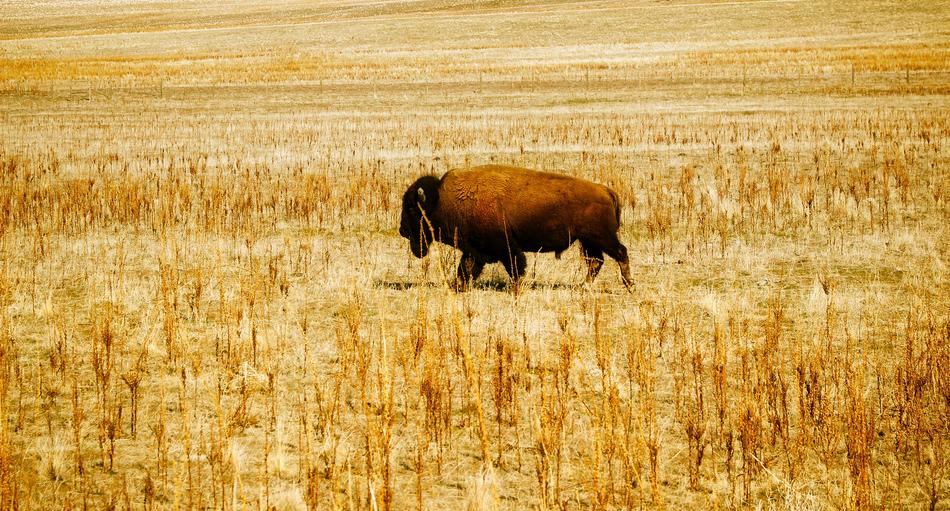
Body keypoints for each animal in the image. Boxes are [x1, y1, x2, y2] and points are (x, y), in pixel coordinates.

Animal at [399, 164, 633, 290]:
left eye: (411, 208)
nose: (401, 230)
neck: (442, 200)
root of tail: (604, 190)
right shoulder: (474, 250)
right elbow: (465, 269)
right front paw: (459, 286)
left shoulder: (505, 247)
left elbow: (515, 267)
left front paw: (516, 288)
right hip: (589, 241)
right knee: (596, 262)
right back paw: (585, 287)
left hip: (601, 238)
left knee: (620, 253)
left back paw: (629, 284)